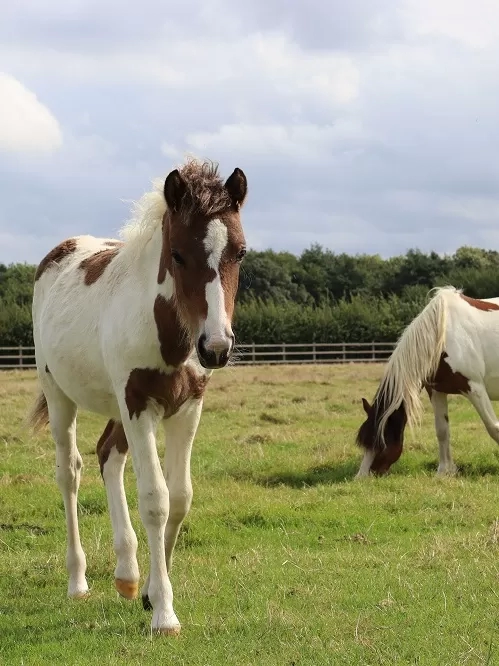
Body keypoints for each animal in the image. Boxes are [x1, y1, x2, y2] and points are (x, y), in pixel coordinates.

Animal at [26, 157, 249, 632]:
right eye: (178, 254)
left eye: (239, 253)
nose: (216, 348)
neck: (170, 333)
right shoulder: (138, 403)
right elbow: (155, 500)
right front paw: (164, 613)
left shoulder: (188, 407)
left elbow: (180, 497)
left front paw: (148, 592)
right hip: (61, 396)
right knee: (69, 472)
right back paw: (78, 581)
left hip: (117, 407)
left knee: (108, 454)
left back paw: (127, 575)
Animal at [358, 282, 499, 474]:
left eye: (382, 442)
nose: (361, 477)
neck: (442, 336)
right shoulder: (436, 390)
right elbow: (442, 430)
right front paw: (445, 471)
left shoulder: (475, 388)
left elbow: (493, 427)